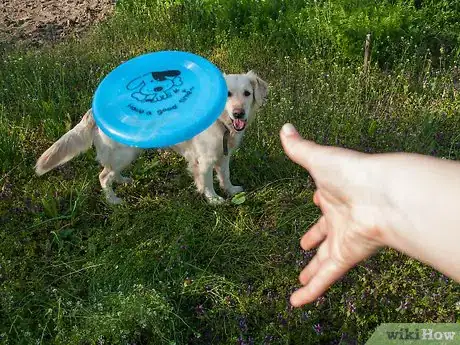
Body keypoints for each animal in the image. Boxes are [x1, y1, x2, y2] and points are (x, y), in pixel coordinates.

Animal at [36, 71, 268, 203]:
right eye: (227, 94)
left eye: (247, 93)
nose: (239, 113)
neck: (222, 124)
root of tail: (93, 110)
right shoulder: (204, 160)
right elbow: (208, 182)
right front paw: (214, 200)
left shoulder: (224, 155)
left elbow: (225, 176)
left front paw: (231, 190)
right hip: (124, 153)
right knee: (103, 176)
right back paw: (113, 201)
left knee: (111, 172)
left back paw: (124, 181)